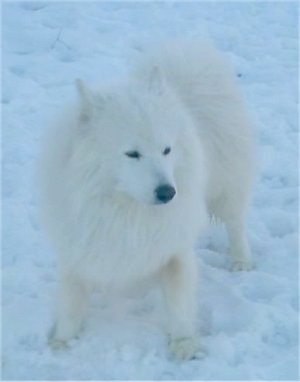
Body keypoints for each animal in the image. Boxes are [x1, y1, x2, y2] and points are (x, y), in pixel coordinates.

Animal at [39, 39, 255, 362]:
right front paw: (62, 340)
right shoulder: (78, 243)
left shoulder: (175, 245)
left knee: (236, 223)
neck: (128, 210)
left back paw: (241, 260)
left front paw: (184, 342)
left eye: (167, 150)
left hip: (228, 187)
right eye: (132, 154)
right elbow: (71, 299)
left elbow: (179, 298)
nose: (168, 192)